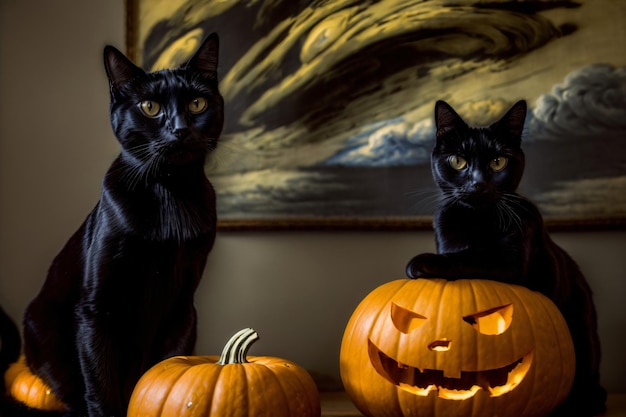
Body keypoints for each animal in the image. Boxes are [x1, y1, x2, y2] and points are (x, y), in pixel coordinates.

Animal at [0, 33, 223, 416]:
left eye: (197, 103)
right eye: (150, 107)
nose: (179, 129)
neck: (169, 193)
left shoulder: (181, 309)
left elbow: (165, 364)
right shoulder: (95, 309)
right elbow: (101, 385)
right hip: (43, 325)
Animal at [404, 100, 604, 416]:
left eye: (499, 162)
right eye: (458, 161)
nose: (477, 184)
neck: (476, 221)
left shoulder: (511, 259)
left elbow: (469, 255)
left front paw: (421, 262)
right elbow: (460, 253)